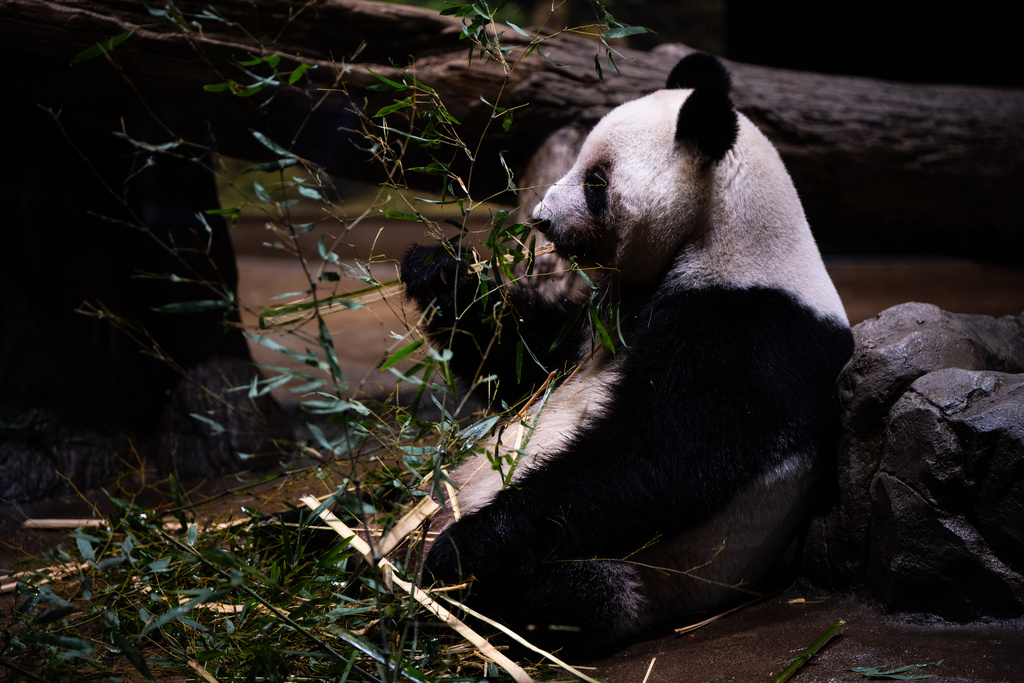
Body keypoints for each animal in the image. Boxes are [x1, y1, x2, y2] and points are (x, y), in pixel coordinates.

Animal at [399, 52, 855, 651]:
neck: (724, 232)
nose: (541, 218)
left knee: (557, 595)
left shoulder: (751, 328)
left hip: (636, 581)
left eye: (596, 180)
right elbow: (526, 363)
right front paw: (439, 273)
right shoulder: (601, 316)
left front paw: (465, 546)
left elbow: (661, 456)